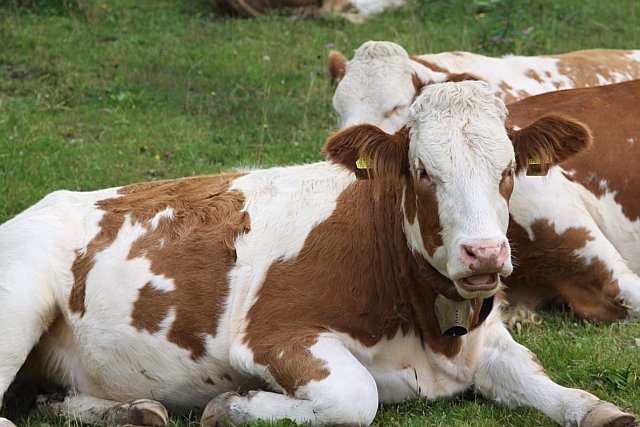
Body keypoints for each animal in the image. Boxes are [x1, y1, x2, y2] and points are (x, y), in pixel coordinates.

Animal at [0, 82, 635, 427]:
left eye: (508, 170)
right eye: (423, 172)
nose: (483, 254)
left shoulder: (487, 341)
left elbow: (546, 382)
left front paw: (600, 409)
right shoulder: (271, 334)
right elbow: (357, 396)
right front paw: (233, 405)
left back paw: (130, 409)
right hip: (20, 300)